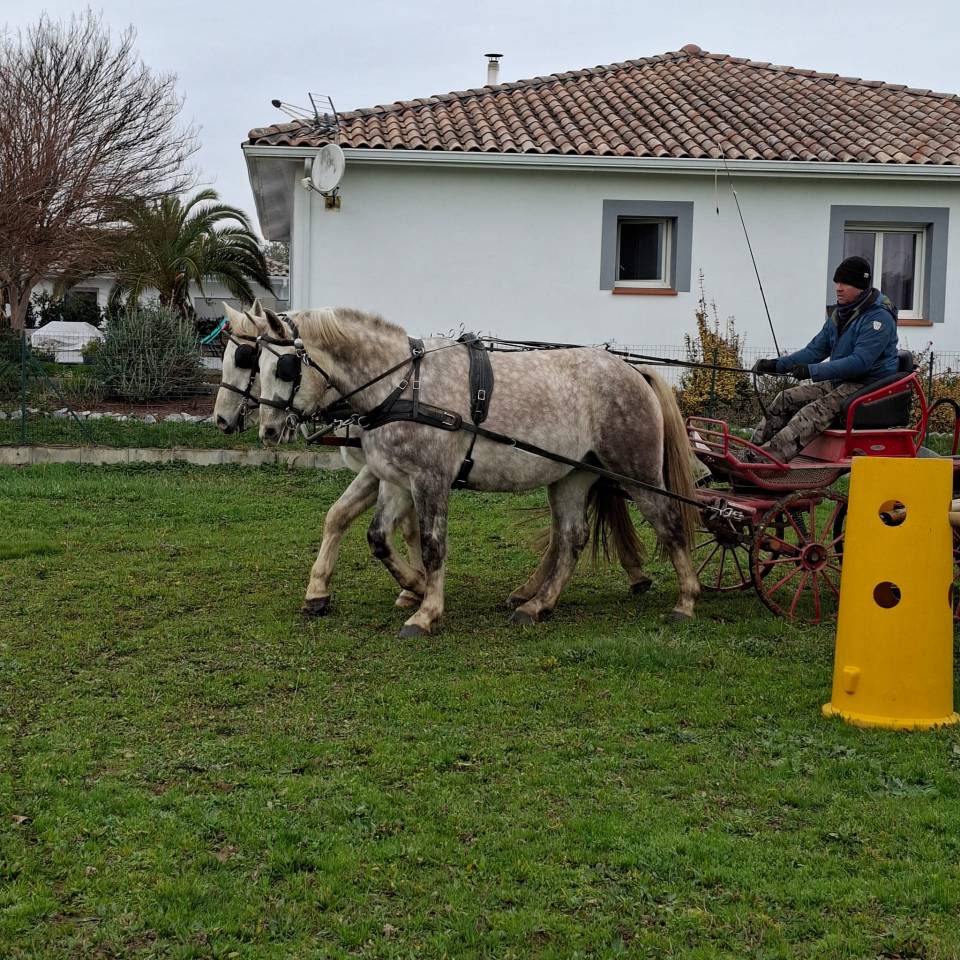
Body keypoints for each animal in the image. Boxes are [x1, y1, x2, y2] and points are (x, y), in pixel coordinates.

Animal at [271, 306, 700, 636]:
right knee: (571, 538)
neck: (403, 384)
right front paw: (412, 587)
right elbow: (377, 535)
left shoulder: (429, 479)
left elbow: (432, 544)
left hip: (637, 472)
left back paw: (687, 601)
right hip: (573, 475)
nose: (271, 427)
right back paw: (536, 605)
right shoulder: (396, 476)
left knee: (669, 522)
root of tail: (633, 370)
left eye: (283, 367)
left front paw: (426, 612)